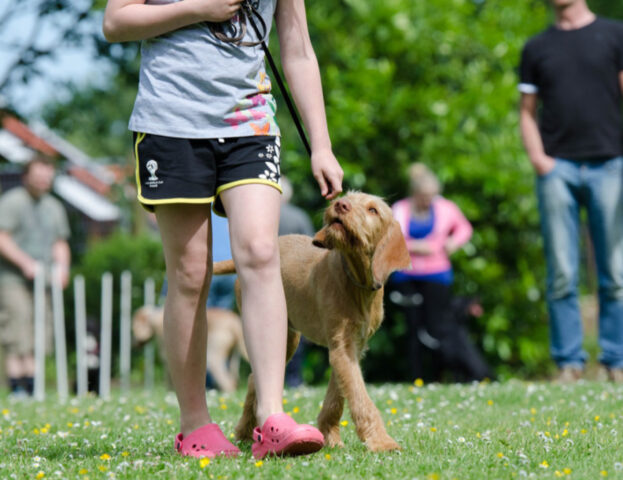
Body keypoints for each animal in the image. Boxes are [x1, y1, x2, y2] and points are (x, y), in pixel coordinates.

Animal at [212, 190, 412, 450]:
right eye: (348, 197)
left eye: (373, 210)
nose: (340, 204)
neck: (356, 282)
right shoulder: (342, 347)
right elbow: (360, 396)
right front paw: (381, 441)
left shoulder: (351, 348)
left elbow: (337, 396)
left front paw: (330, 437)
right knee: (254, 378)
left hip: (287, 338)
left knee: (254, 379)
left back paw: (246, 432)